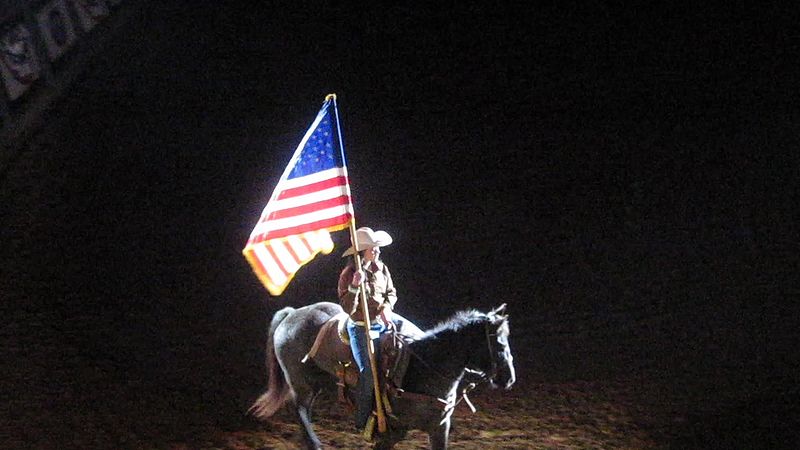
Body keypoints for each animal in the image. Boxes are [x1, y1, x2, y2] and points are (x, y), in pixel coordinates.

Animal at [247, 302, 516, 450]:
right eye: (499, 344)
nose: (509, 378)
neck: (423, 367)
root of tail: (292, 314)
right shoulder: (391, 434)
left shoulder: (439, 428)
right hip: (300, 381)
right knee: (300, 409)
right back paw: (315, 444)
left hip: (317, 382)